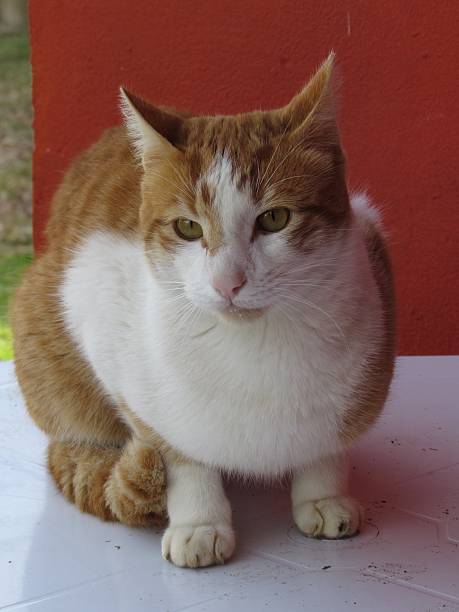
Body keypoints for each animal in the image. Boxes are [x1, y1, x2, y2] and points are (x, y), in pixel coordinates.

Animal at [12, 52, 398, 568]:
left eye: (275, 218)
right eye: (188, 228)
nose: (227, 282)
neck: (255, 350)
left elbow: (328, 444)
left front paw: (323, 495)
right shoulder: (101, 317)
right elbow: (180, 453)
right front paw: (199, 523)